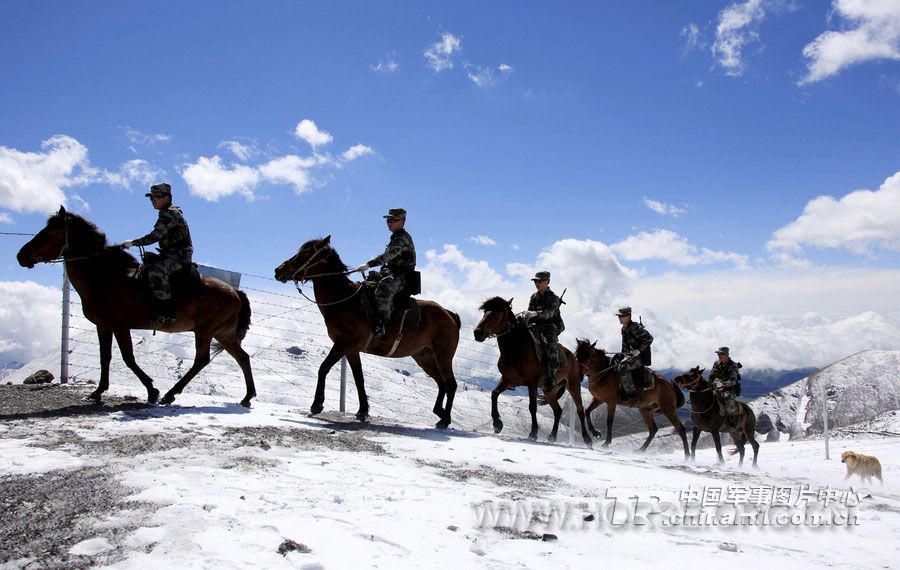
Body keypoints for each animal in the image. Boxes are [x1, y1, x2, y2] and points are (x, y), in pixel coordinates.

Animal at [14, 206, 256, 406]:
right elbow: (105, 358)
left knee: (202, 360)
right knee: (242, 357)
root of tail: (235, 292)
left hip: (205, 331)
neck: (106, 277)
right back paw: (247, 397)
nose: (20, 256)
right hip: (223, 334)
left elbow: (128, 358)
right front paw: (97, 392)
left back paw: (170, 394)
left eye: (49, 233)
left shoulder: (120, 326)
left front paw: (152, 391)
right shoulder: (104, 326)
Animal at [274, 235, 460, 426]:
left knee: (451, 384)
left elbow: (323, 368)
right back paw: (439, 412)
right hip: (424, 357)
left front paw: (317, 405)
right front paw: (362, 411)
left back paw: (445, 419)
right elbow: (359, 378)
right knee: (441, 383)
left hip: (443, 356)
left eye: (306, 253)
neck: (343, 301)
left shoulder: (342, 344)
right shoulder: (351, 350)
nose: (278, 270)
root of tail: (449, 315)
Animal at [472, 296, 592, 446]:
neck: (516, 349)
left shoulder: (531, 383)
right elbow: (494, 394)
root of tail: (574, 359)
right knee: (558, 411)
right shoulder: (507, 380)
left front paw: (533, 433)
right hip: (549, 390)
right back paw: (552, 436)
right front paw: (497, 424)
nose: (477, 332)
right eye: (485, 312)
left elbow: (532, 406)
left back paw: (587, 439)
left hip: (573, 385)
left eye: (498, 313)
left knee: (580, 409)